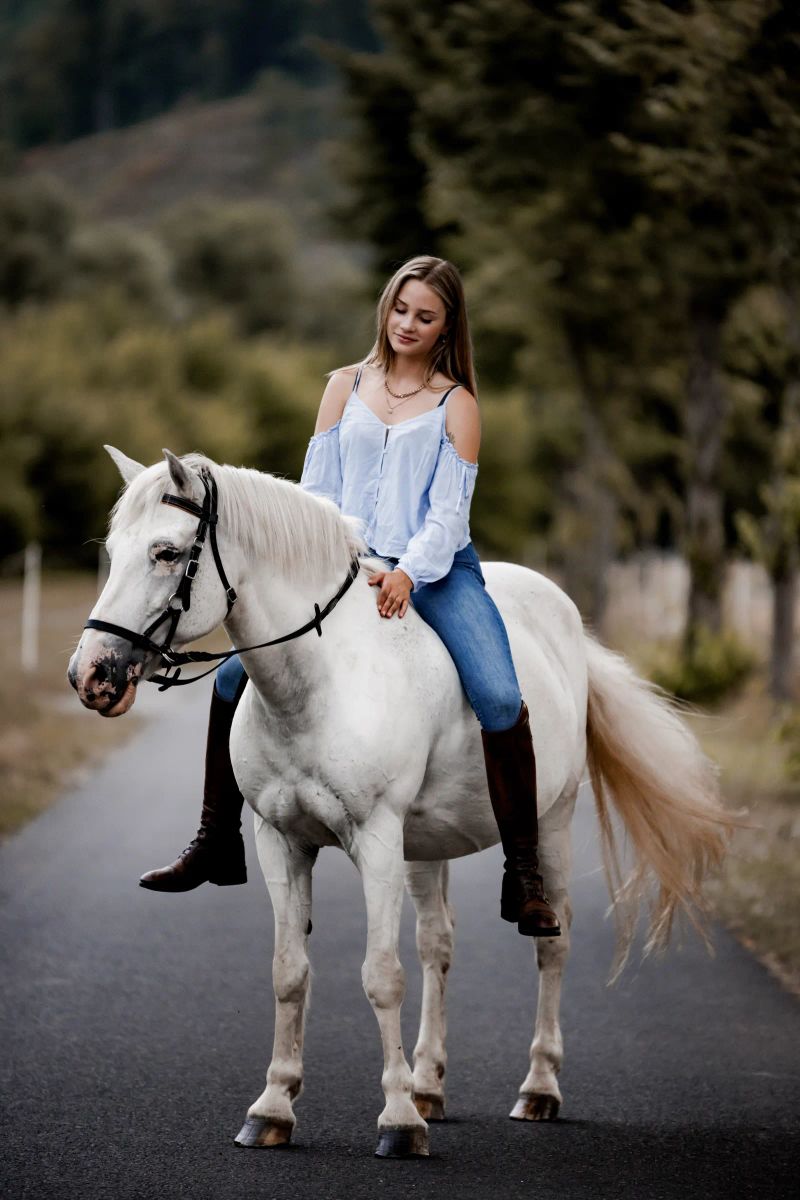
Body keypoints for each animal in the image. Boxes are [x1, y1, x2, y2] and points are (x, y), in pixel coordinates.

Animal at [68, 446, 735, 1159]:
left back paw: (537, 1088)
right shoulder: (282, 841)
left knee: (551, 941)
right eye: (114, 551)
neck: (321, 680)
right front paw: (274, 1108)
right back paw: (429, 1087)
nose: (91, 674)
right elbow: (290, 972)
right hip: (426, 847)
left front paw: (396, 1122)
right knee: (437, 943)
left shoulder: (378, 839)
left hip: (549, 821)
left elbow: (381, 975)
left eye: (166, 552)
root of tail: (562, 613)